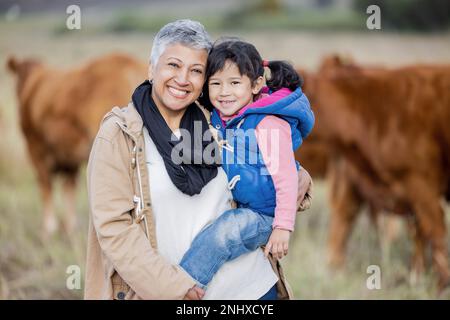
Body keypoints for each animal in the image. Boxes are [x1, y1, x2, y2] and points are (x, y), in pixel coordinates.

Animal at [6, 53, 146, 238]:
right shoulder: (68, 158)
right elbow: (69, 189)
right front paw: (69, 227)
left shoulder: (35, 149)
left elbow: (46, 187)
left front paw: (48, 229)